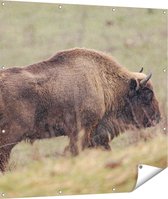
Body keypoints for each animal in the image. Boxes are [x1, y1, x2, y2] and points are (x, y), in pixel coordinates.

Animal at [0, 47, 161, 171]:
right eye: (148, 94)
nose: (158, 117)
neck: (103, 84)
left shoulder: (95, 133)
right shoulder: (82, 130)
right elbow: (74, 151)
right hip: (10, 136)